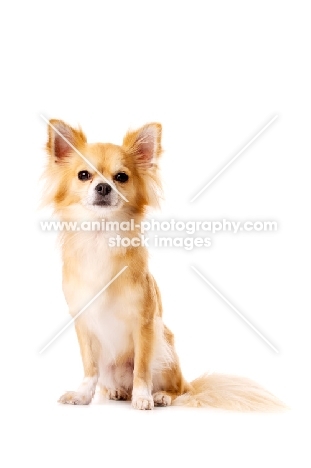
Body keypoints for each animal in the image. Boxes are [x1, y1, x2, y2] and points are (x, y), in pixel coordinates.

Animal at [42, 120, 286, 410]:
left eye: (121, 177)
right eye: (83, 175)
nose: (103, 187)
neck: (101, 237)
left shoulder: (145, 325)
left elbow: (141, 368)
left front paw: (143, 397)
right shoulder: (84, 324)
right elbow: (90, 368)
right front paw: (82, 395)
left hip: (165, 349)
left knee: (177, 389)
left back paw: (160, 395)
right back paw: (117, 392)